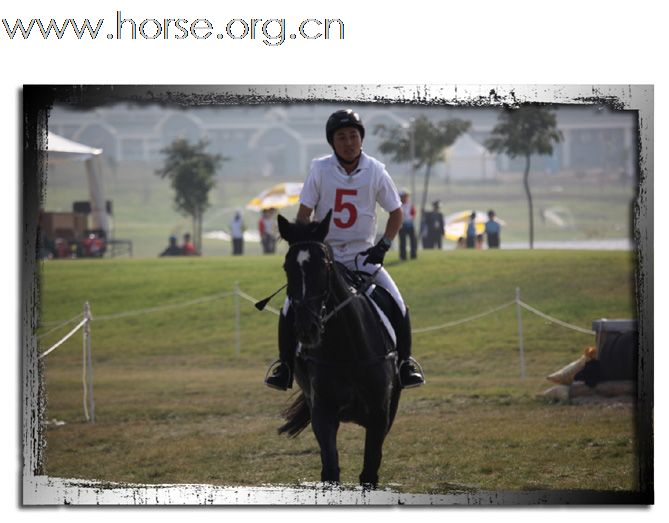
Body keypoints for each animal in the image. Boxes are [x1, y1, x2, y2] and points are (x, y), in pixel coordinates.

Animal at [274, 211, 400, 490]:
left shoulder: (380, 416)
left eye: (324, 266)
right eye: (287, 267)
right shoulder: (323, 414)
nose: (306, 328)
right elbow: (331, 470)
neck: (347, 351)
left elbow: (369, 473)